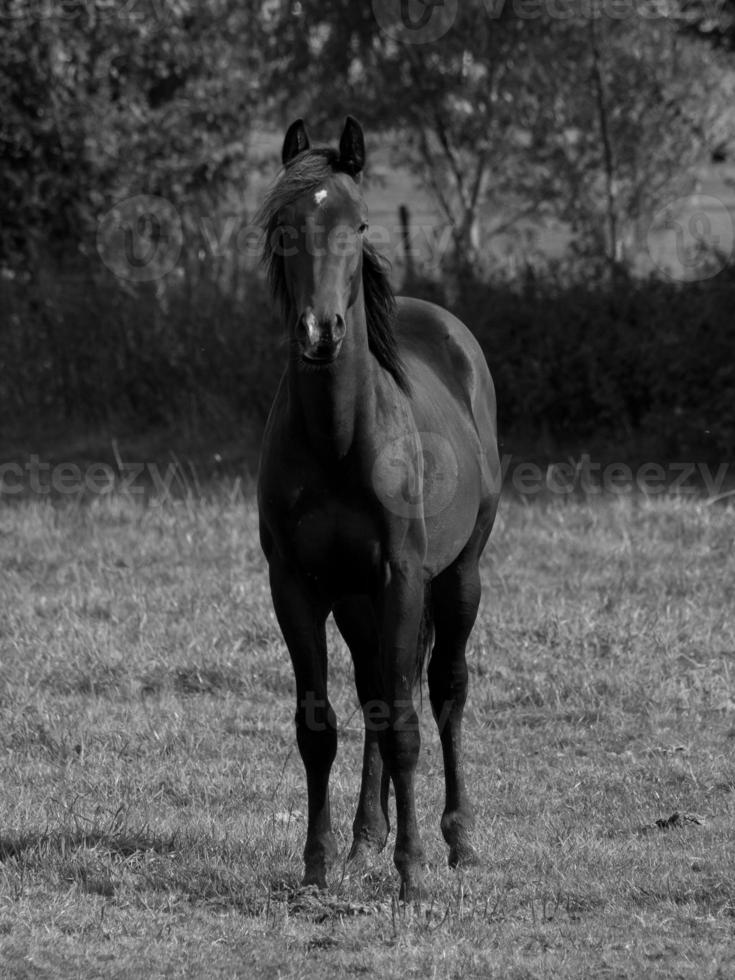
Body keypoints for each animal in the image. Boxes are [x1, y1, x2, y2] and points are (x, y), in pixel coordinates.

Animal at [256, 115, 504, 896]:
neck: (340, 439)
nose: (321, 332)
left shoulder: (401, 578)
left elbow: (405, 725)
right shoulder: (297, 586)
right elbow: (321, 724)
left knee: (445, 692)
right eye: (284, 226)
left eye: (358, 222)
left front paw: (413, 873)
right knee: (371, 693)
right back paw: (365, 841)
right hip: (356, 599)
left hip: (457, 579)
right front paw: (316, 866)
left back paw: (460, 841)